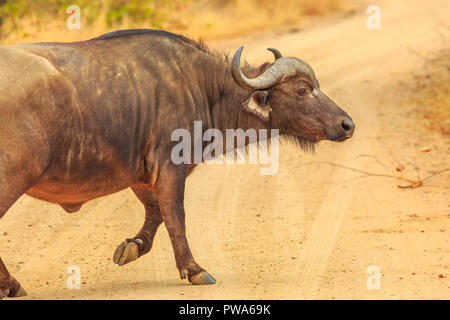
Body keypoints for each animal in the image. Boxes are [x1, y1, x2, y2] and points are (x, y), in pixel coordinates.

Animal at [0, 30, 354, 298]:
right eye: (302, 89)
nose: (347, 124)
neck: (198, 85)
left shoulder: (141, 174)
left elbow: (155, 213)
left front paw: (131, 247)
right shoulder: (170, 166)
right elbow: (175, 217)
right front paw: (194, 269)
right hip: (11, 181)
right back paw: (12, 284)